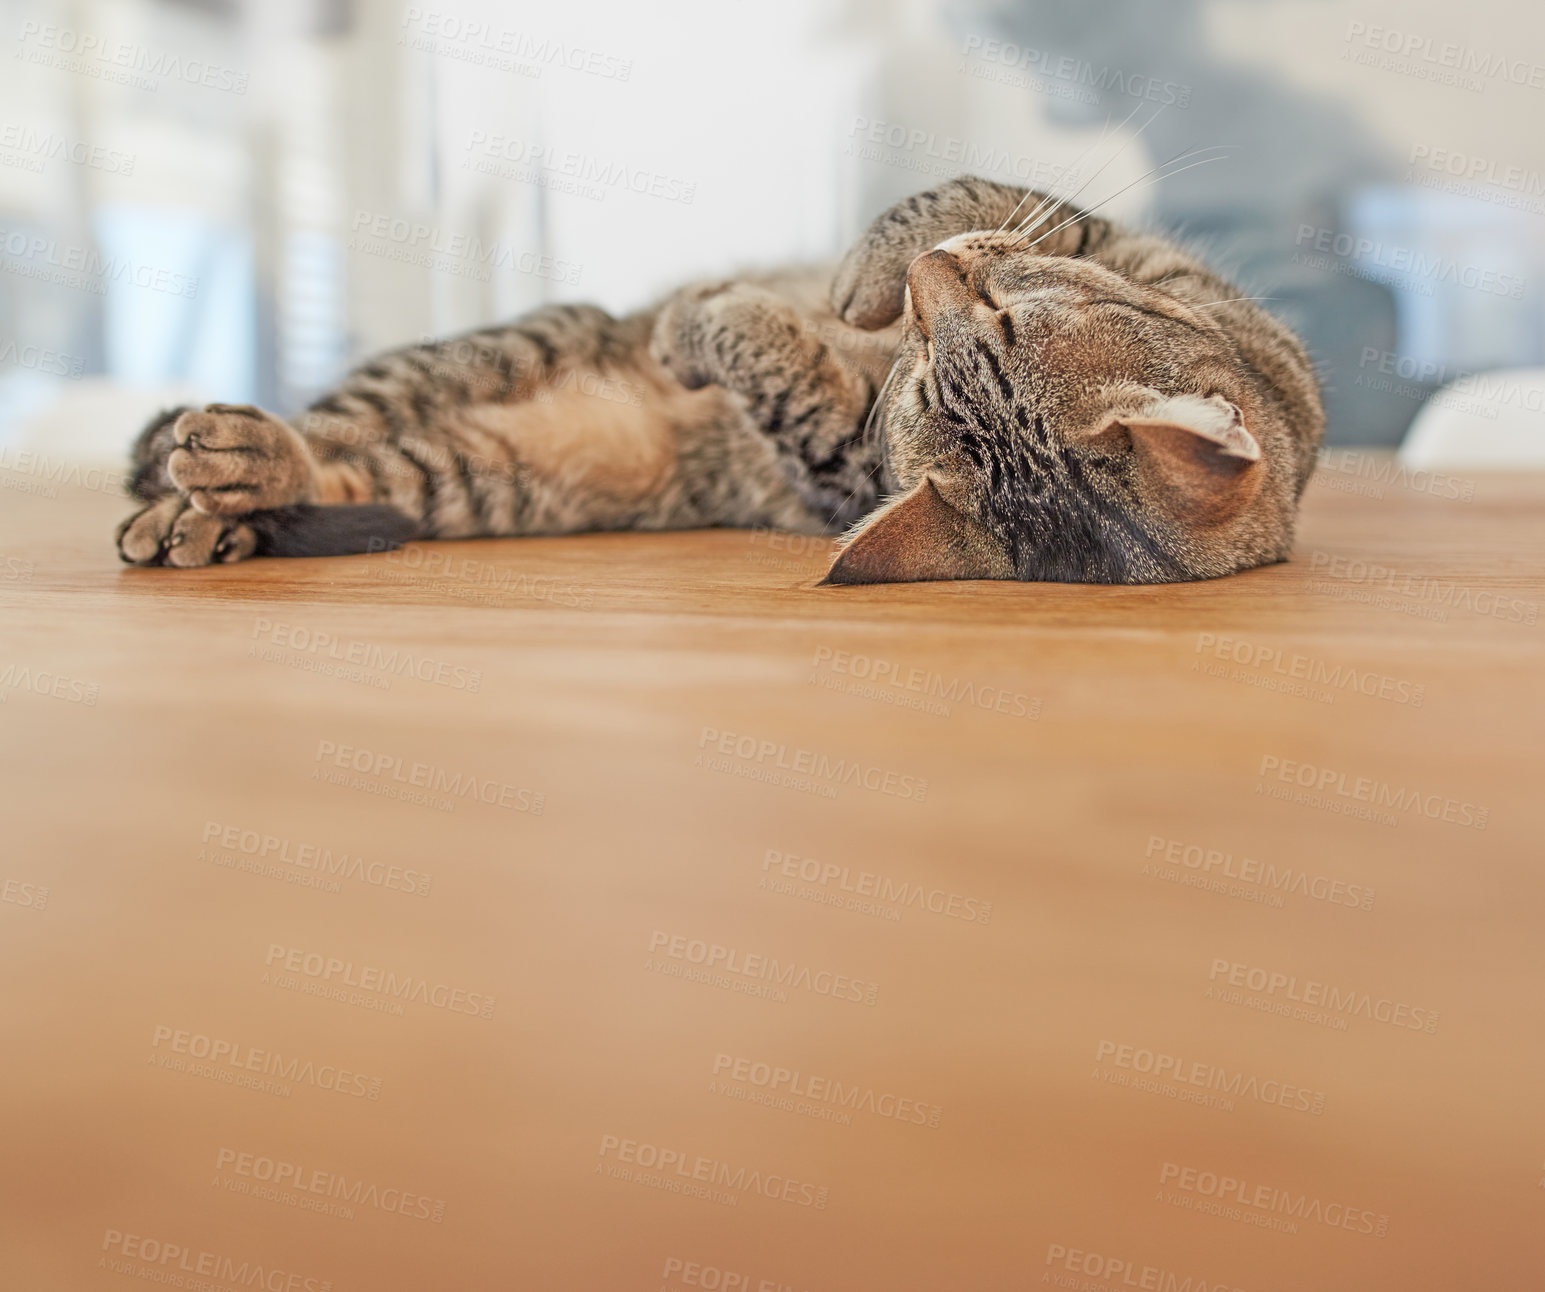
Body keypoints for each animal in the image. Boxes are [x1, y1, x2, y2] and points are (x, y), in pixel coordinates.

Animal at [117, 177, 1328, 584]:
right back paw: (197, 497)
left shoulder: (833, 459)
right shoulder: (1122, 246)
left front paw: (724, 321)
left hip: (464, 475)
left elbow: (770, 356)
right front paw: (859, 274)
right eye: (1000, 317)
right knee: (315, 431)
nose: (920, 290)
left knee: (340, 472)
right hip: (492, 351)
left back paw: (225, 494)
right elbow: (971, 192)